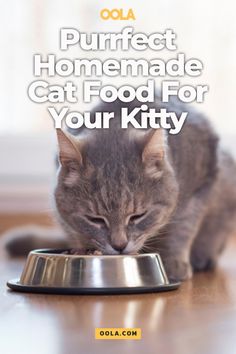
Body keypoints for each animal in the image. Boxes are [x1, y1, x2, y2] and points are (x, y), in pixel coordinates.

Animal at [3, 94, 236, 282]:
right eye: (95, 219)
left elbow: (183, 228)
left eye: (138, 216)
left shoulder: (200, 186)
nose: (119, 245)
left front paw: (173, 262)